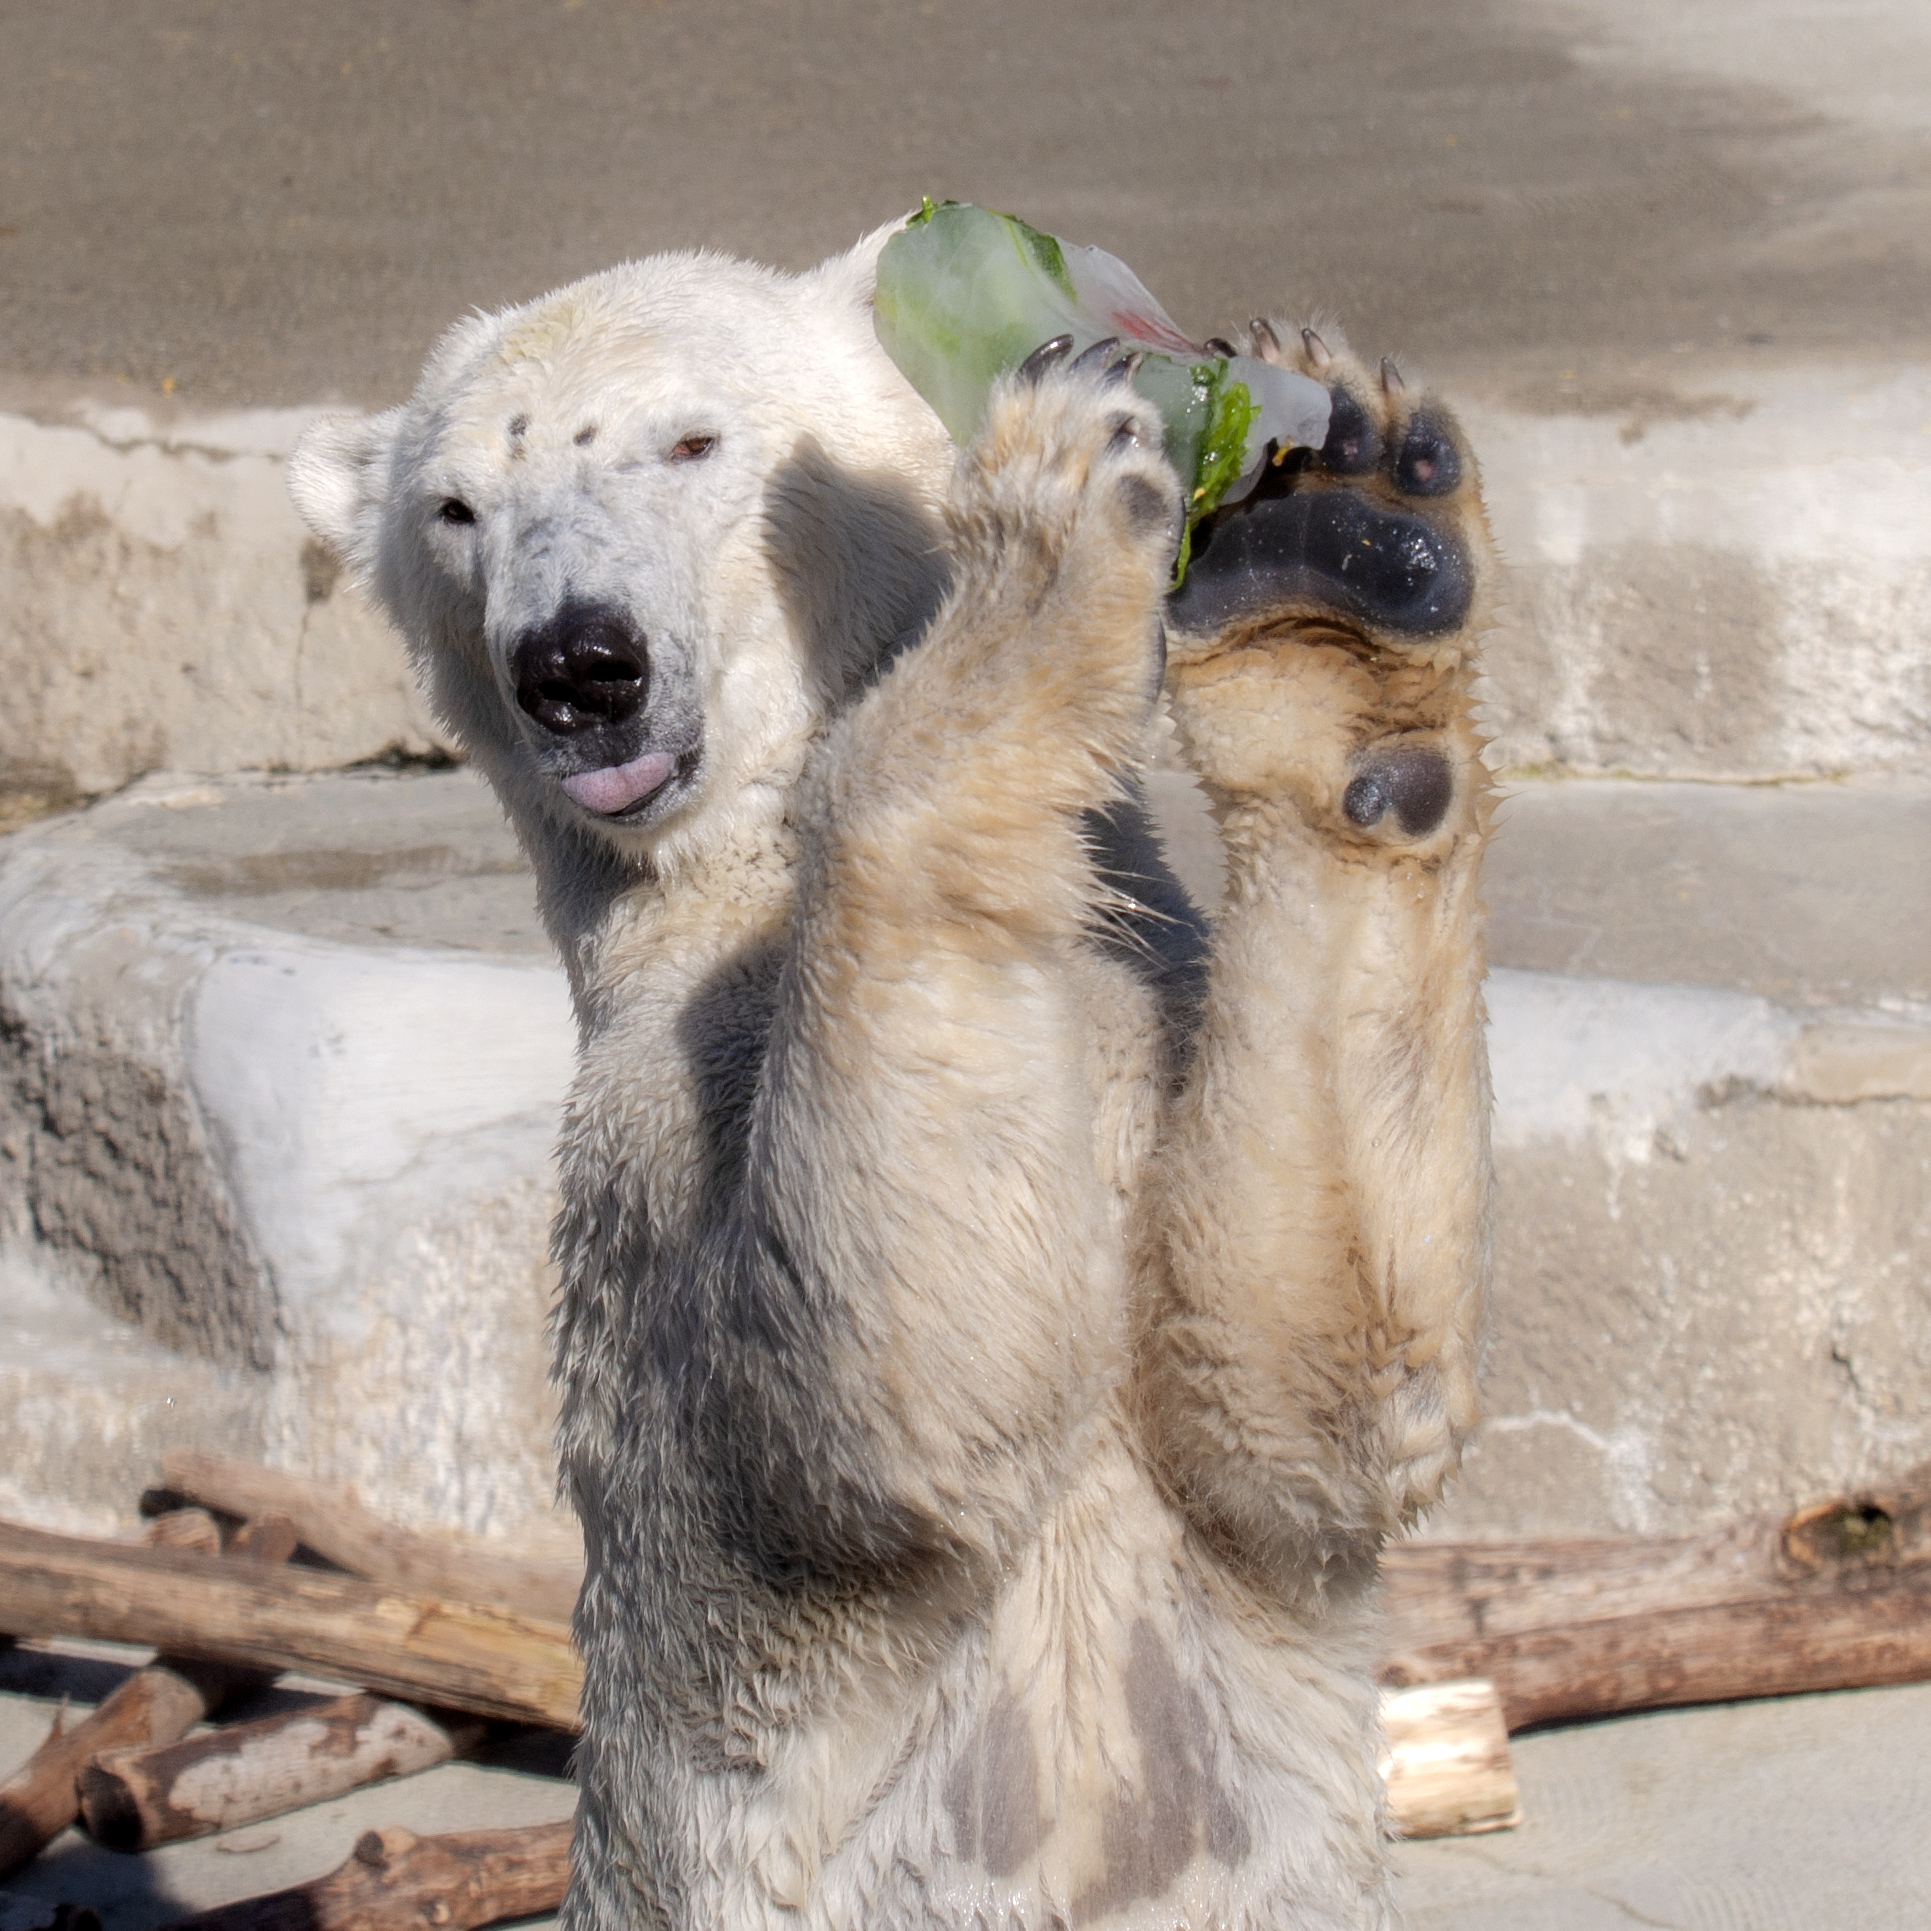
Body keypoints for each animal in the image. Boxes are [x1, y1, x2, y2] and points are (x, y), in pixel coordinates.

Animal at [289, 229, 1490, 1931]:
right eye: (453, 509)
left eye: (690, 440)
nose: (573, 662)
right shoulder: (655, 1147)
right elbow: (880, 1407)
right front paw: (1055, 511)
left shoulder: (1158, 1031)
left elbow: (1295, 1391)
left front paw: (1340, 558)